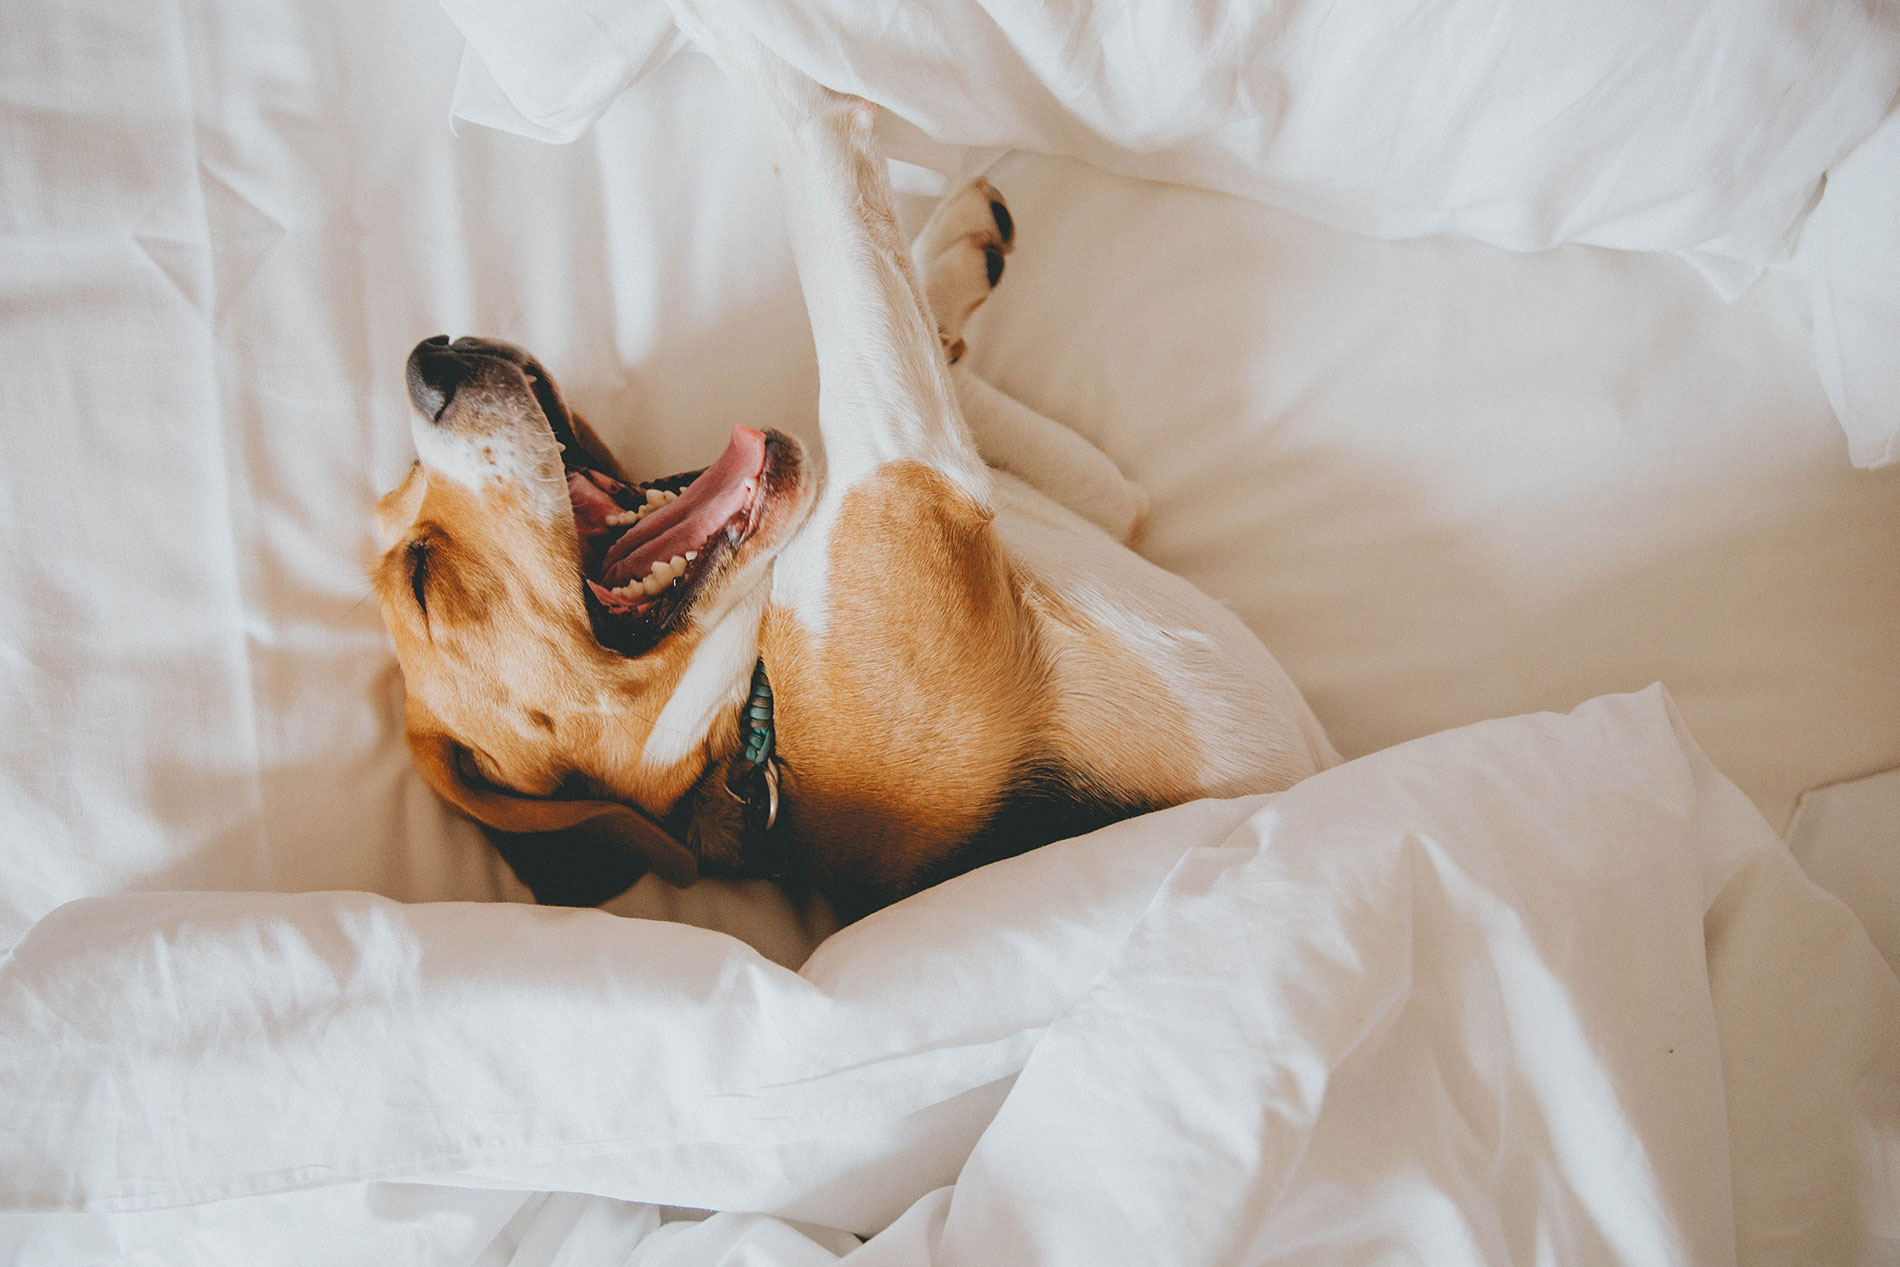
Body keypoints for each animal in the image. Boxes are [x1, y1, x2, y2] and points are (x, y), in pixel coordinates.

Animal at [374, 24, 1337, 926]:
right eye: (424, 583)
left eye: (401, 492)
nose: (428, 362)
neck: (753, 721)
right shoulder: (911, 469)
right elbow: (822, 165)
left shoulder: (1088, 493)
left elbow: (911, 312)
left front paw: (952, 256)